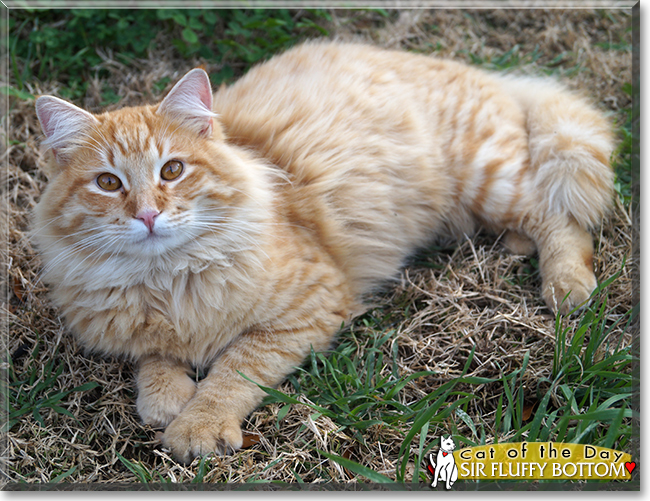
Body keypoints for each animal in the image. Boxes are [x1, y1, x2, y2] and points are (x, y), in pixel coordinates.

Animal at [33, 42, 612, 460]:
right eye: (108, 183)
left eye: (172, 170)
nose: (148, 215)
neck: (170, 279)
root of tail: (486, 74)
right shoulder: (140, 330)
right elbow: (154, 358)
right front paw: (165, 399)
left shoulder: (307, 308)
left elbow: (232, 373)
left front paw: (197, 424)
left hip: (491, 180)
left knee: (561, 215)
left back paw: (568, 286)